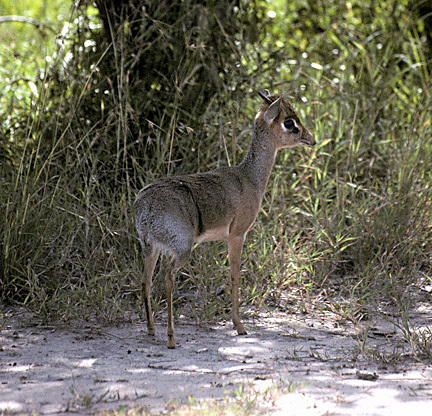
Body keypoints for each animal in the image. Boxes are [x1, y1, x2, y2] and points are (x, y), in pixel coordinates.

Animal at [133, 91, 316, 348]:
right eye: (289, 122)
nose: (311, 139)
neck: (250, 178)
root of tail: (145, 204)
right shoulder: (237, 234)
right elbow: (235, 274)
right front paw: (239, 326)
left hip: (151, 248)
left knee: (145, 280)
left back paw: (151, 329)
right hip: (181, 249)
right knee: (167, 277)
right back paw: (170, 337)